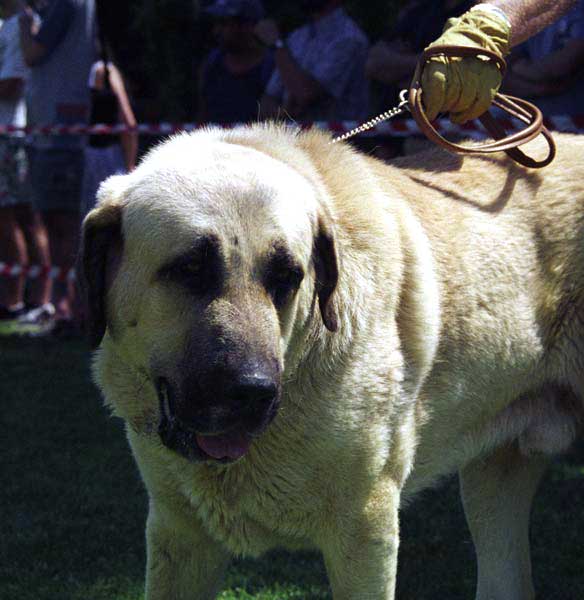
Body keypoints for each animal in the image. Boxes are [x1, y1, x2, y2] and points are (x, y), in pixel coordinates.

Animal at [81, 124, 584, 596]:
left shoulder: (366, 530)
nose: (253, 392)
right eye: (189, 268)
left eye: (287, 277)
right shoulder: (179, 534)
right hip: (493, 484)